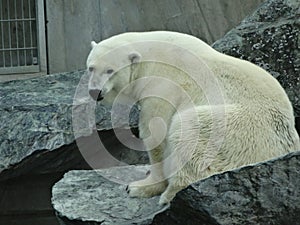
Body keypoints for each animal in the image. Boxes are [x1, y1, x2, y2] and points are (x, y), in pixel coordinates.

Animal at [85, 30, 298, 205]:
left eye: (110, 70)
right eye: (91, 68)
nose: (95, 92)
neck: (152, 56)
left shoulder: (164, 85)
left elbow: (156, 134)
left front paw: (139, 187)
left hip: (237, 130)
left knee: (189, 129)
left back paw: (170, 194)